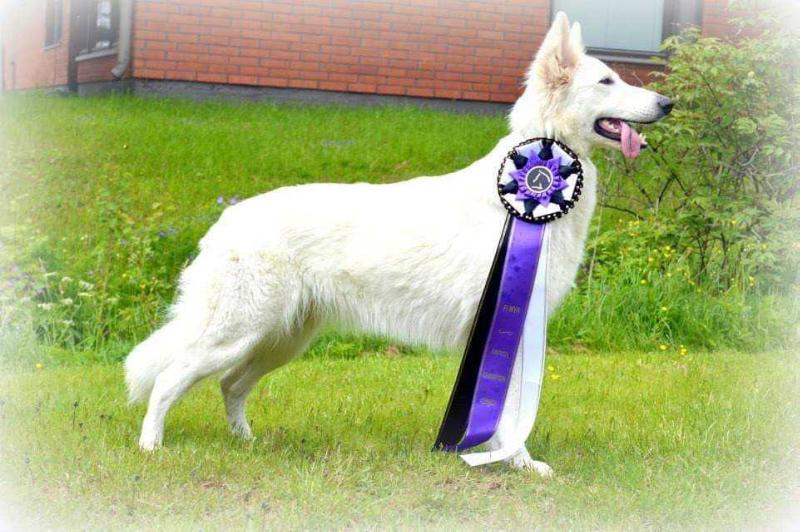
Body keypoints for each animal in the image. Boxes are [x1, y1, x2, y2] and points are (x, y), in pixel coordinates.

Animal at [125, 12, 672, 474]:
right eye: (607, 81)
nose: (668, 104)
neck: (527, 192)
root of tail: (227, 219)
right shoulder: (509, 325)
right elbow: (511, 410)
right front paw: (517, 462)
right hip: (238, 331)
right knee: (170, 379)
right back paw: (151, 448)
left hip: (280, 338)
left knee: (230, 384)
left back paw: (246, 442)